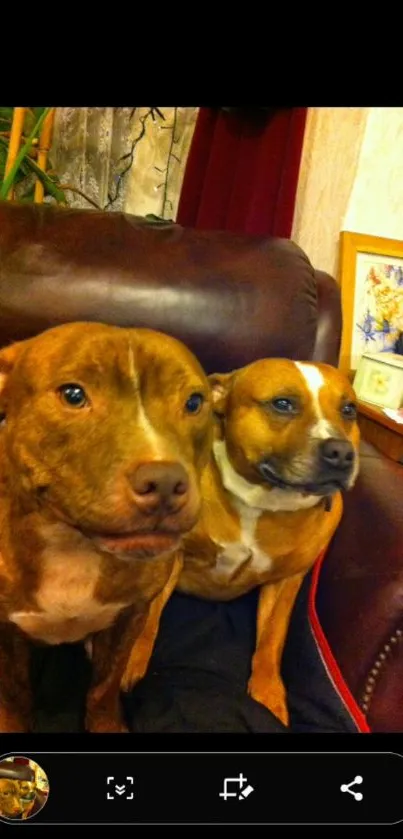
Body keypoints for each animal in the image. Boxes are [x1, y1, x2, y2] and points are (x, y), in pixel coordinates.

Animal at [126, 358, 360, 724]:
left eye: (349, 410)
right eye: (283, 404)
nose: (341, 452)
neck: (261, 502)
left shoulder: (286, 582)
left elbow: (271, 640)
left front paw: (268, 693)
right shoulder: (171, 555)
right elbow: (150, 616)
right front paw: (133, 660)